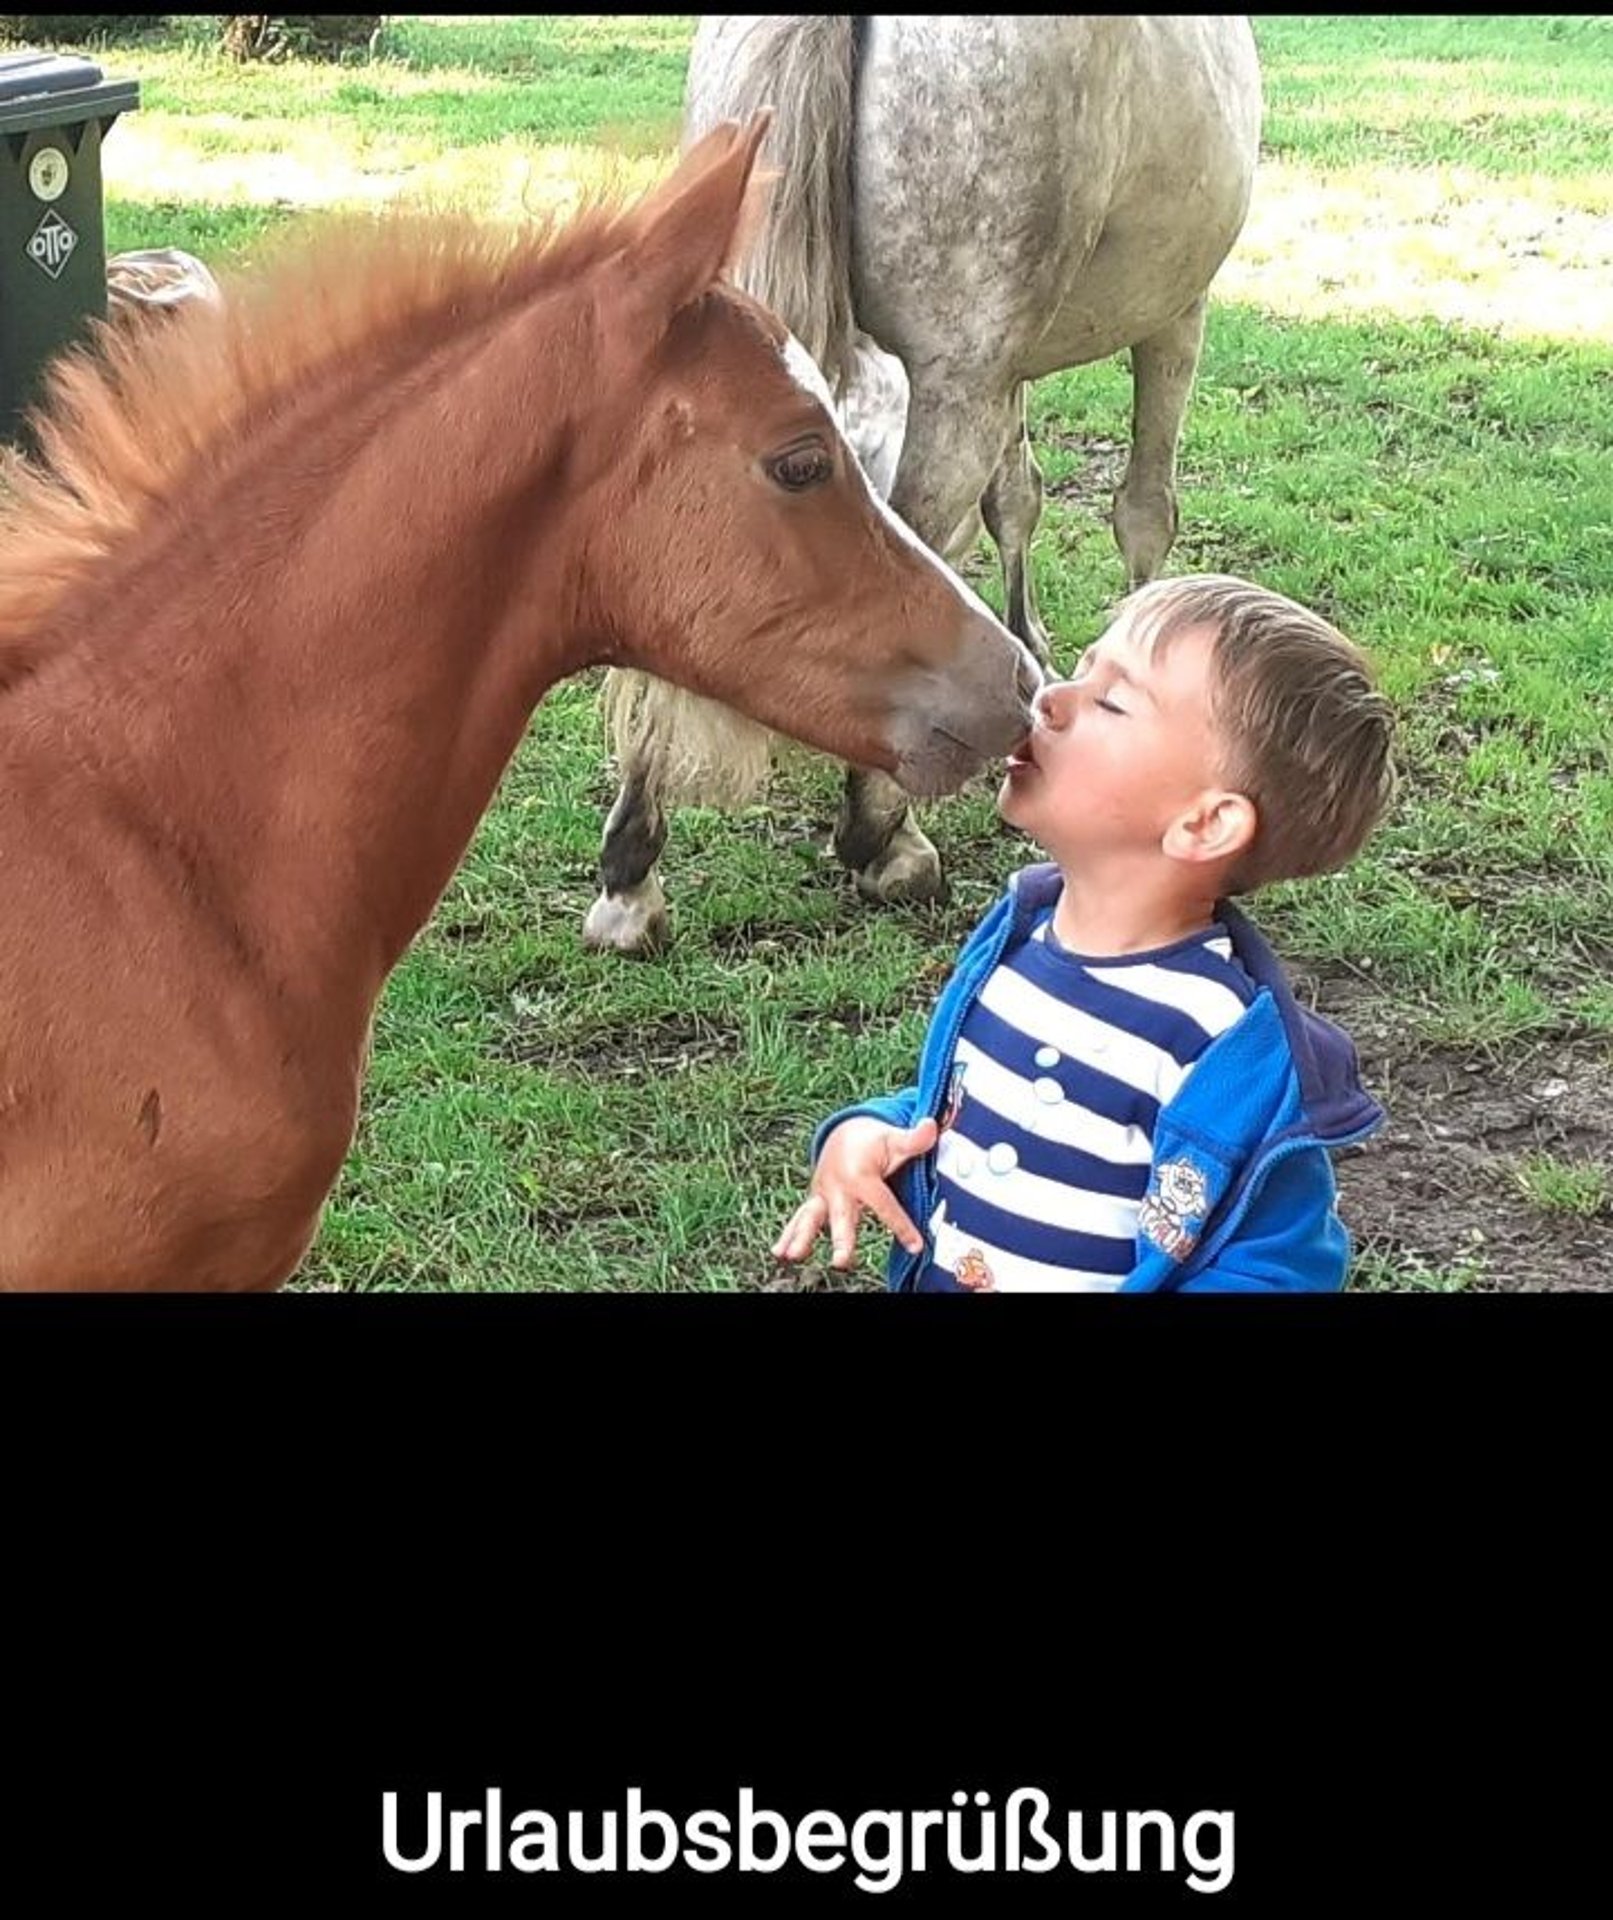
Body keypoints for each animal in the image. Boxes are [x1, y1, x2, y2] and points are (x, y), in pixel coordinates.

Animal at [587, 7, 1267, 952]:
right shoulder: (1172, 315)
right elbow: (1141, 513)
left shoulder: (1015, 368)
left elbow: (1016, 498)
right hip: (962, 373)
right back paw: (884, 837)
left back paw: (630, 873)